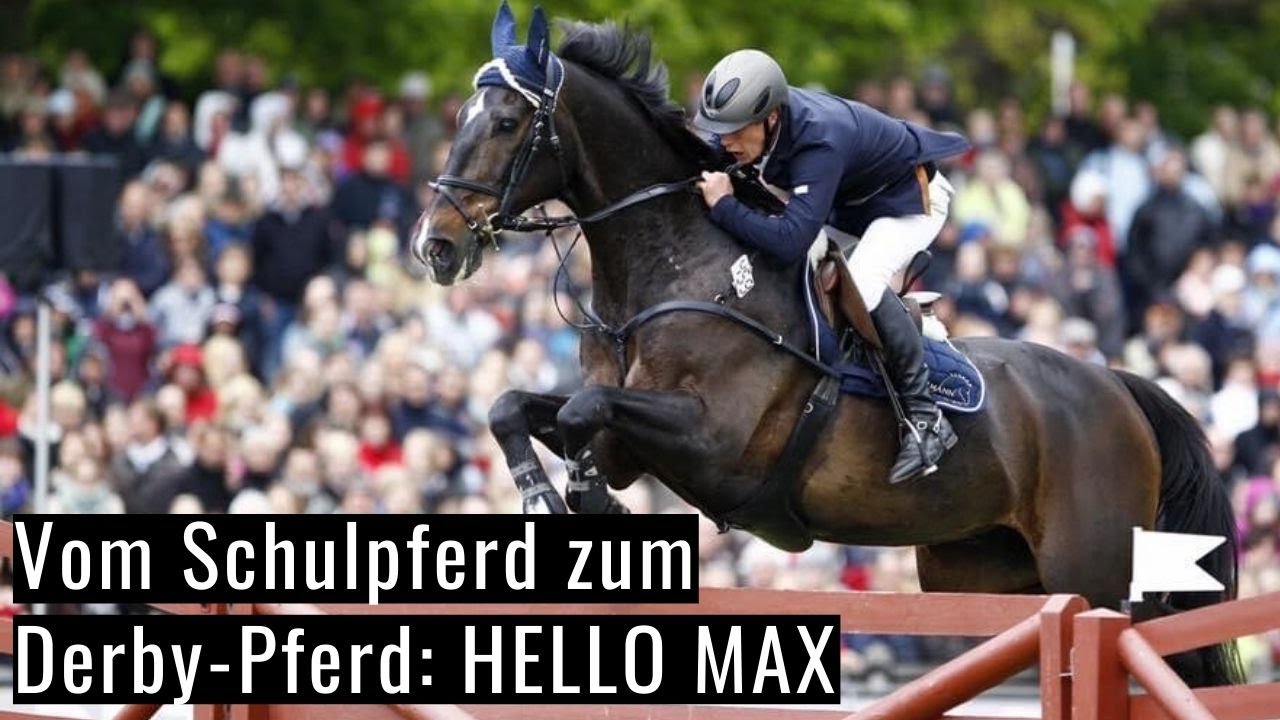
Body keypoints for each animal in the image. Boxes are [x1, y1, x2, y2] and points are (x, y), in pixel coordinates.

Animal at [412, 7, 1242, 687]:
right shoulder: (633, 436)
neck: (674, 265)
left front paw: (584, 499)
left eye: (508, 124)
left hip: (1096, 571)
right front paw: (546, 492)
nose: (435, 247)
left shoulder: (710, 440)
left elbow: (582, 411)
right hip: (984, 571)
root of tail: (1120, 388)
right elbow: (515, 405)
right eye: (460, 117)